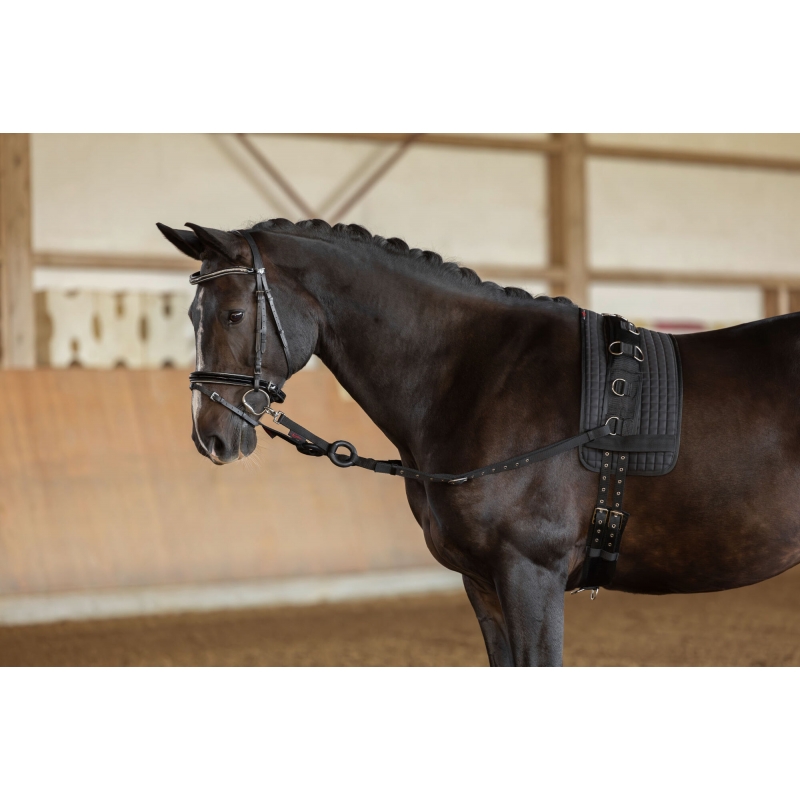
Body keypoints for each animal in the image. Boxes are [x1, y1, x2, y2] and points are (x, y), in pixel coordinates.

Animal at [157, 217, 800, 666]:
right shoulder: (483, 581)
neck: (478, 374)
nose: (210, 435)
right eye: (190, 316)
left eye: (234, 314)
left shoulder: (531, 573)